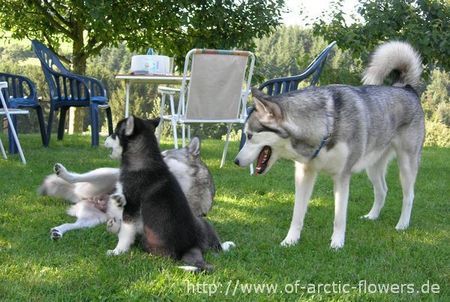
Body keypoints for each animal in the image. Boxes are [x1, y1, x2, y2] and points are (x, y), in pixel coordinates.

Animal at [38, 137, 214, 241]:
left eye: (163, 156)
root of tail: (84, 198)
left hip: (92, 220)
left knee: (69, 225)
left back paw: (58, 231)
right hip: (105, 174)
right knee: (77, 177)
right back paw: (64, 173)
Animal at [104, 116, 234, 272]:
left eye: (115, 133)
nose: (105, 139)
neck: (144, 160)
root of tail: (191, 247)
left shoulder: (133, 205)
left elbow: (125, 231)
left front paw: (118, 250)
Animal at [236, 41, 426, 249]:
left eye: (250, 135)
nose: (236, 161)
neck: (325, 125)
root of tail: (406, 88)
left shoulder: (342, 176)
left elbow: (339, 217)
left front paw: (337, 244)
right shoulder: (304, 173)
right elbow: (297, 213)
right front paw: (290, 240)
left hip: (406, 164)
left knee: (409, 196)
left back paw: (402, 224)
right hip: (373, 165)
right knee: (382, 190)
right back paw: (372, 216)